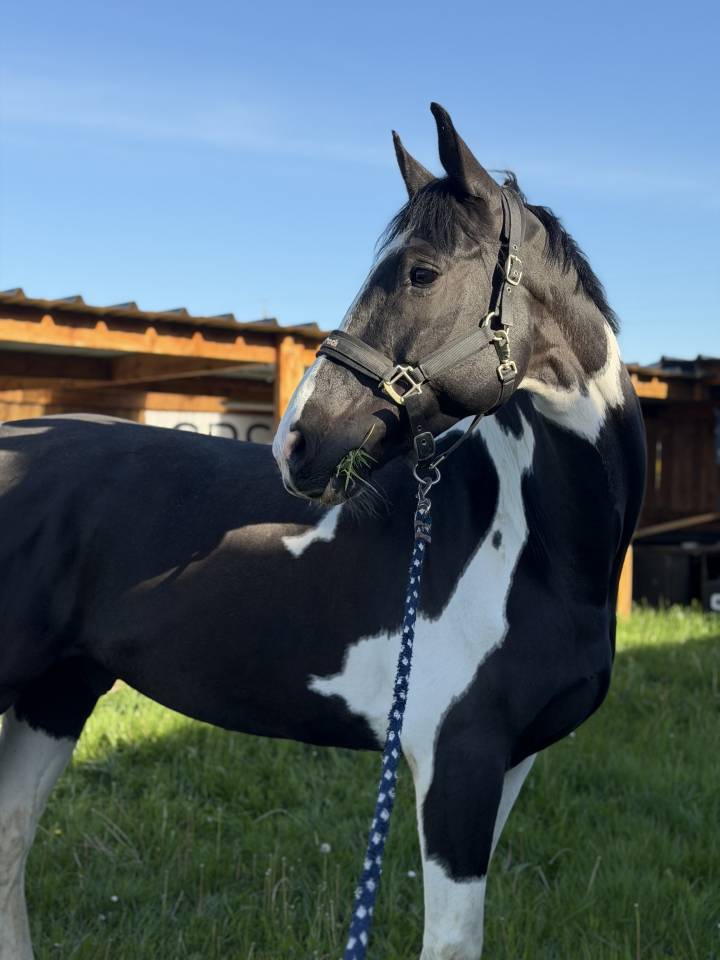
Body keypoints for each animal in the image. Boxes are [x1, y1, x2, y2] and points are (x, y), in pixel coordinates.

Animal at [0, 103, 645, 959]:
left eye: (421, 273)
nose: (295, 442)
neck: (539, 546)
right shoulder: (458, 762)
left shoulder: (507, 766)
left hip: (59, 689)